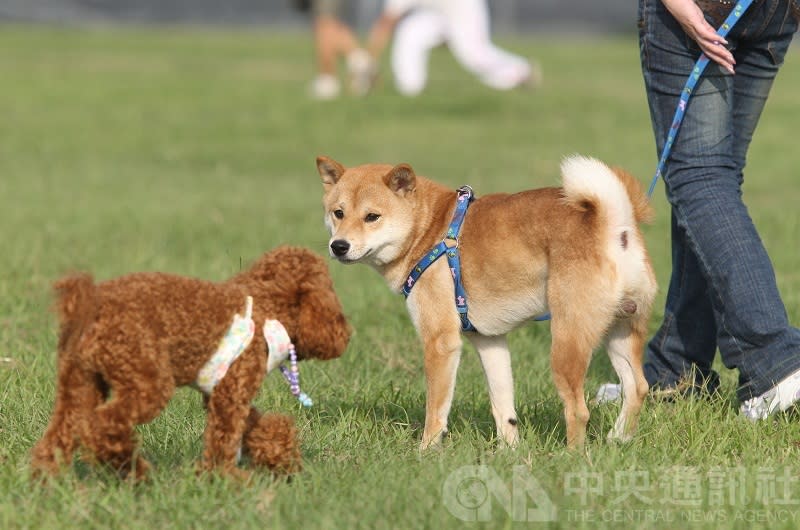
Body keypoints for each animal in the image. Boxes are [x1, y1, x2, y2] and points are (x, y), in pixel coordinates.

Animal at [31, 245, 350, 480]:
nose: (345, 335)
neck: (266, 309)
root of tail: (88, 304)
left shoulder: (223, 392)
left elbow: (257, 425)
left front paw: (281, 456)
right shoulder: (232, 393)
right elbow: (226, 438)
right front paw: (228, 479)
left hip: (80, 381)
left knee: (62, 432)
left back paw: (47, 480)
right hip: (147, 381)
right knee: (100, 424)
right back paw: (134, 470)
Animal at [314, 155, 656, 448]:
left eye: (372, 217)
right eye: (338, 213)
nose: (339, 246)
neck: (429, 228)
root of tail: (615, 225)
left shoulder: (441, 341)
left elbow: (436, 410)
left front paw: (425, 451)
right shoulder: (489, 340)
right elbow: (503, 407)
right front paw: (510, 452)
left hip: (568, 340)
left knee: (579, 409)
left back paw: (573, 456)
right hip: (620, 330)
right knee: (637, 387)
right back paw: (618, 438)